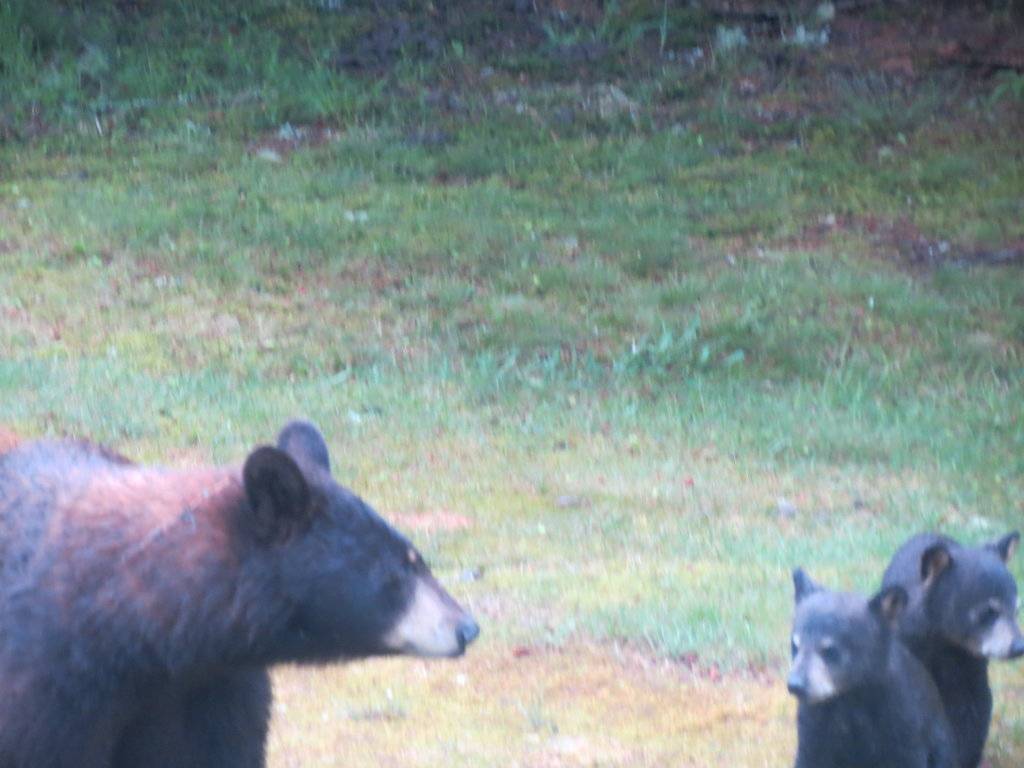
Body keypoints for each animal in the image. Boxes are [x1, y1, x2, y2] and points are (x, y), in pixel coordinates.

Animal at [787, 568, 955, 768]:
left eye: (830, 650)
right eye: (795, 645)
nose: (795, 685)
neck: (851, 694)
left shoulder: (906, 725)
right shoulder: (814, 725)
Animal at [881, 531, 1024, 768]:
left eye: (1016, 609)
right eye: (988, 611)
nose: (1018, 646)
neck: (947, 641)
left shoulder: (970, 663)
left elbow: (973, 708)